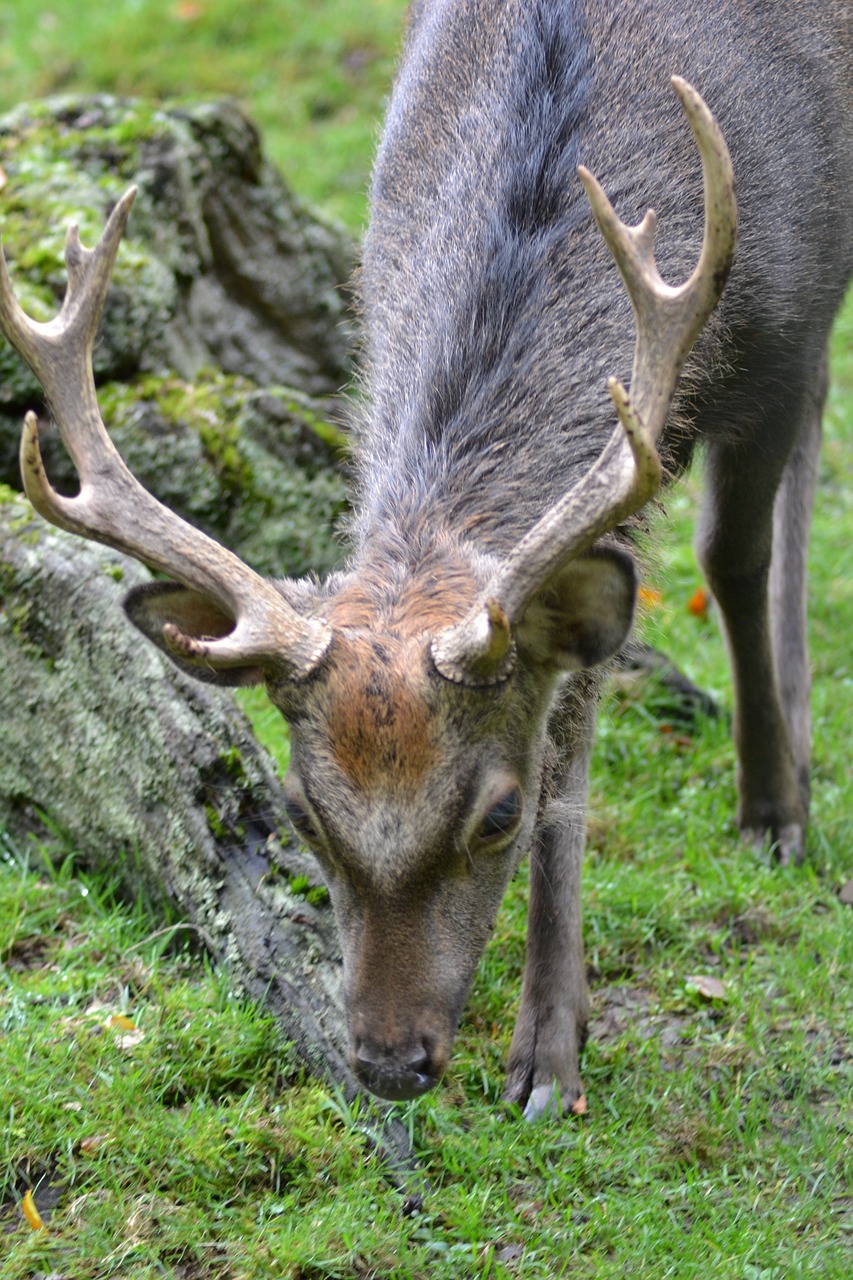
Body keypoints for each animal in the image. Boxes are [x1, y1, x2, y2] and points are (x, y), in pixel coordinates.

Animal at [1, 2, 850, 1121]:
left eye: (498, 812)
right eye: (302, 811)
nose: (389, 1063)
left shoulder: (786, 314)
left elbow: (729, 559)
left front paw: (770, 816)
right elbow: (578, 711)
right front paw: (553, 1041)